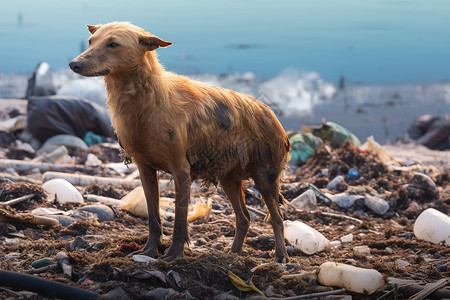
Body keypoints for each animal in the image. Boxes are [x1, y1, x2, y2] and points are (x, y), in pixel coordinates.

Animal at [68, 21, 290, 262]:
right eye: (91, 42)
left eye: (113, 44)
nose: (74, 64)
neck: (147, 103)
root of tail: (271, 114)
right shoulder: (145, 170)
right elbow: (154, 219)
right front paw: (149, 251)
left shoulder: (181, 171)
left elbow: (180, 220)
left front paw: (174, 254)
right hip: (228, 178)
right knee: (244, 218)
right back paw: (233, 254)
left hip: (265, 179)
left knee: (277, 218)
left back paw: (281, 256)